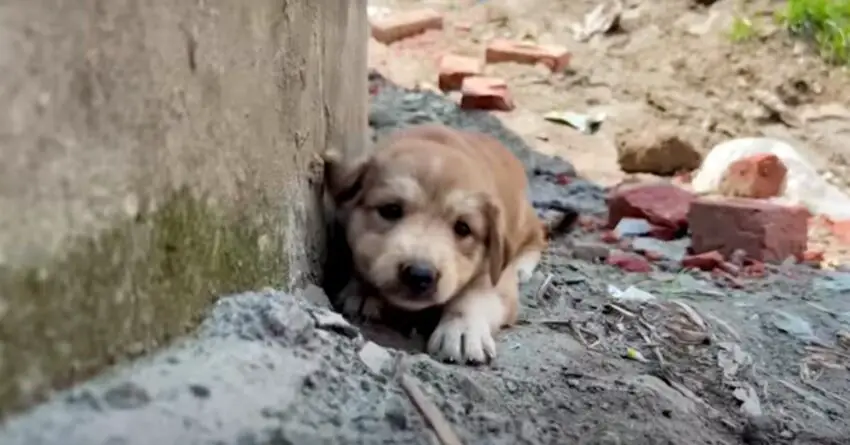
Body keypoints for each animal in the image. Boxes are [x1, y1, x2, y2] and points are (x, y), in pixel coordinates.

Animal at [322, 123, 548, 362]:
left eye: (463, 228)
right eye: (391, 210)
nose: (419, 275)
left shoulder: (496, 272)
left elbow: (476, 296)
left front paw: (462, 331)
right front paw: (364, 292)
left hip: (522, 221)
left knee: (539, 235)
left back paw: (522, 266)